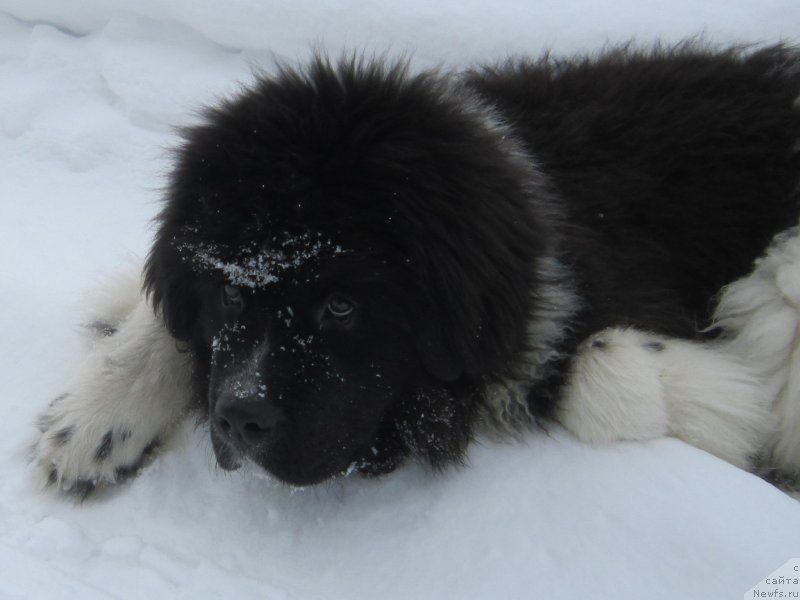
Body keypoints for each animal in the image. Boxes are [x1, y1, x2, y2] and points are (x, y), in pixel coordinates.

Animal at [31, 45, 800, 496]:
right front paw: (93, 417)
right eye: (226, 293)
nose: (240, 419)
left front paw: (720, 404)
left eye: (342, 306)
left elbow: (602, 371)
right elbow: (167, 320)